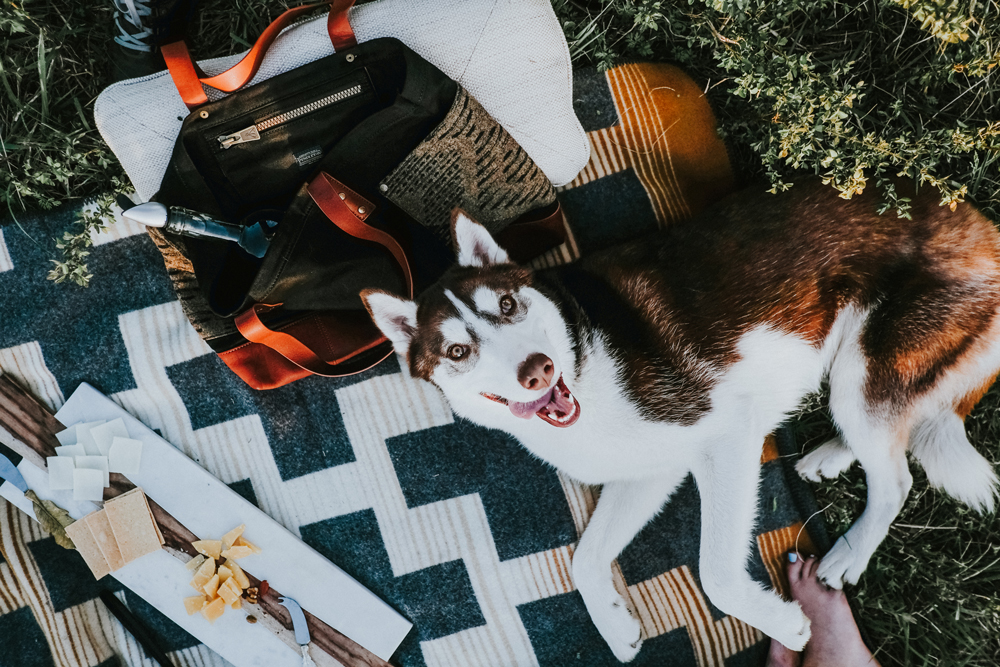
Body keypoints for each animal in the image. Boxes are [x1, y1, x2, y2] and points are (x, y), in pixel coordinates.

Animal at [364, 179, 1000, 664]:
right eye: (457, 352)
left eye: (506, 306)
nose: (537, 369)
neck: (583, 361)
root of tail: (977, 222)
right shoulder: (649, 472)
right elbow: (582, 557)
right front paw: (615, 626)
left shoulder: (728, 438)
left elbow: (714, 572)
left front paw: (784, 624)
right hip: (858, 371)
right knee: (896, 432)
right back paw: (833, 455)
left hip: (865, 366)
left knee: (896, 475)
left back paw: (848, 550)